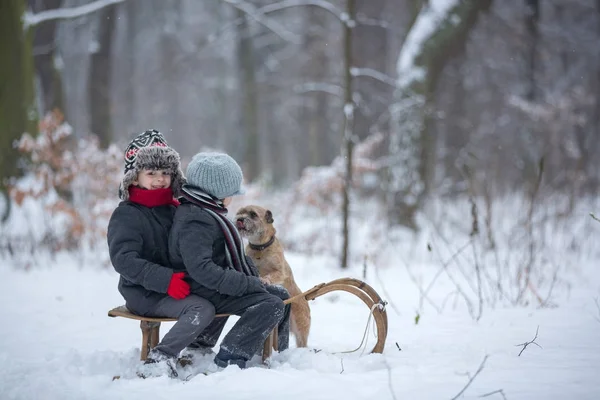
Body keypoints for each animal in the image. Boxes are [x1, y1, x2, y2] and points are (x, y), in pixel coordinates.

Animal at [234, 206, 310, 346]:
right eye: (240, 212)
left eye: (253, 214)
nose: (240, 219)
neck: (260, 248)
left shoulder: (280, 272)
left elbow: (273, 275)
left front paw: (265, 280)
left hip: (300, 328)